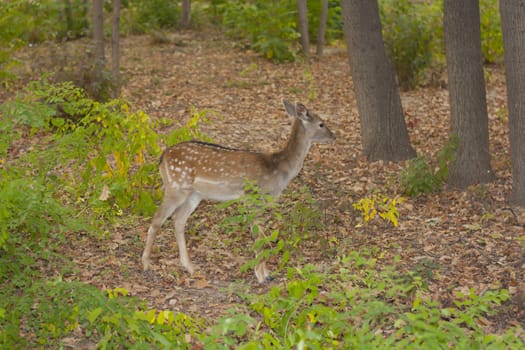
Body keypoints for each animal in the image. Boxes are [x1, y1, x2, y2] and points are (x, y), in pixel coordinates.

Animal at [141, 100, 334, 284]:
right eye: (321, 124)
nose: (334, 136)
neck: (278, 169)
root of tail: (162, 157)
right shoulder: (252, 196)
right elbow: (258, 236)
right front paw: (262, 277)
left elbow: (261, 235)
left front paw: (266, 274)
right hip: (176, 186)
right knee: (157, 220)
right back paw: (146, 264)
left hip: (194, 194)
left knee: (178, 220)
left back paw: (189, 267)